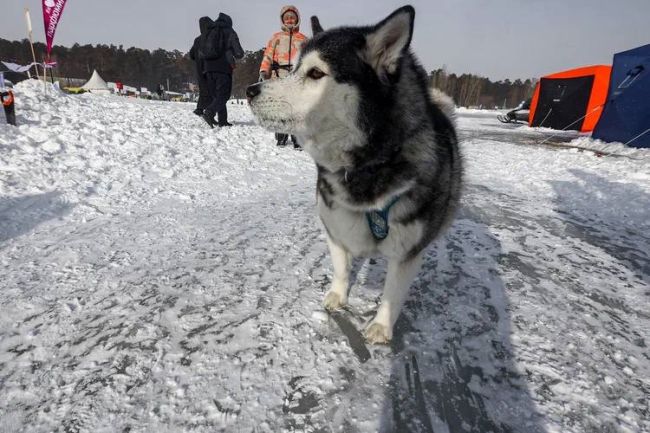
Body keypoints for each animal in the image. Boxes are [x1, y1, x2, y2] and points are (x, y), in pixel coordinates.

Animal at [246, 5, 458, 342]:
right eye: (293, 68)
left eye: (315, 73)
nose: (250, 90)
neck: (369, 165)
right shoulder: (333, 223)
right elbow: (341, 267)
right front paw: (337, 295)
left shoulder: (406, 251)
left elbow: (392, 291)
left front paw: (381, 325)